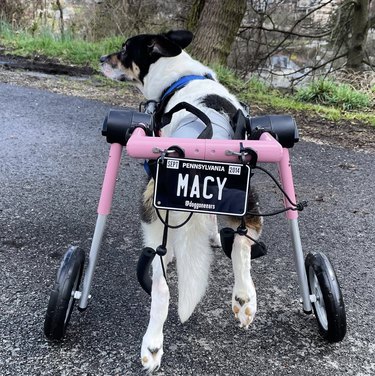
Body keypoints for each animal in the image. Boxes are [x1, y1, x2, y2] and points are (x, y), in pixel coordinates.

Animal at [101, 30, 262, 374]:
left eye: (124, 49)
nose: (100, 59)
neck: (179, 74)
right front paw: (214, 236)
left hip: (149, 212)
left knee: (161, 285)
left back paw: (152, 346)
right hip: (249, 201)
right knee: (243, 243)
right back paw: (244, 299)